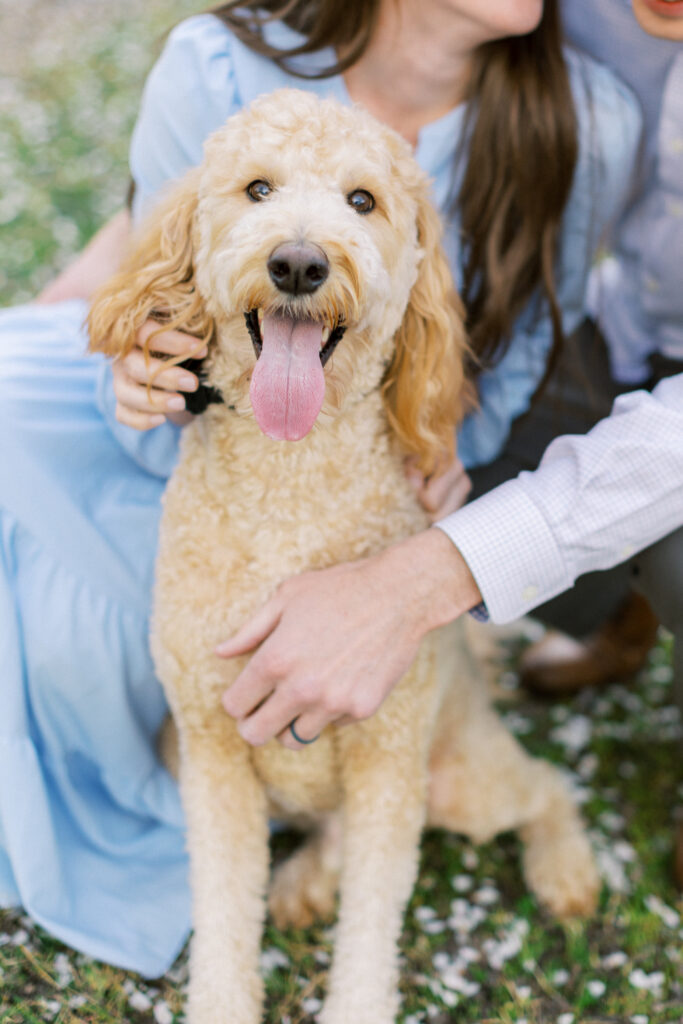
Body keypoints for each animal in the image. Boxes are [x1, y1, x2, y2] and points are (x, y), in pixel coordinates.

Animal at [89, 90, 598, 1024]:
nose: (298, 263)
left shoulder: (387, 761)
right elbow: (223, 916)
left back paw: (566, 871)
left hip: (459, 777)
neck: (288, 487)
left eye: (362, 201)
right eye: (257, 188)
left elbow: (372, 926)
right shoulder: (211, 751)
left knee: (546, 786)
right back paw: (304, 881)